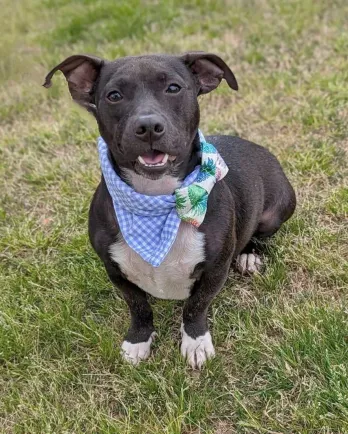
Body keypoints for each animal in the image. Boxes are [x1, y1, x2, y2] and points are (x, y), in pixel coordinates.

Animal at [42, 51, 294, 370]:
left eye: (173, 88)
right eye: (114, 95)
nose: (148, 126)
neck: (157, 201)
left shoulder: (215, 269)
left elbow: (195, 306)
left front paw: (196, 342)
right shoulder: (115, 270)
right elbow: (138, 307)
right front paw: (138, 341)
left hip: (276, 210)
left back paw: (250, 256)